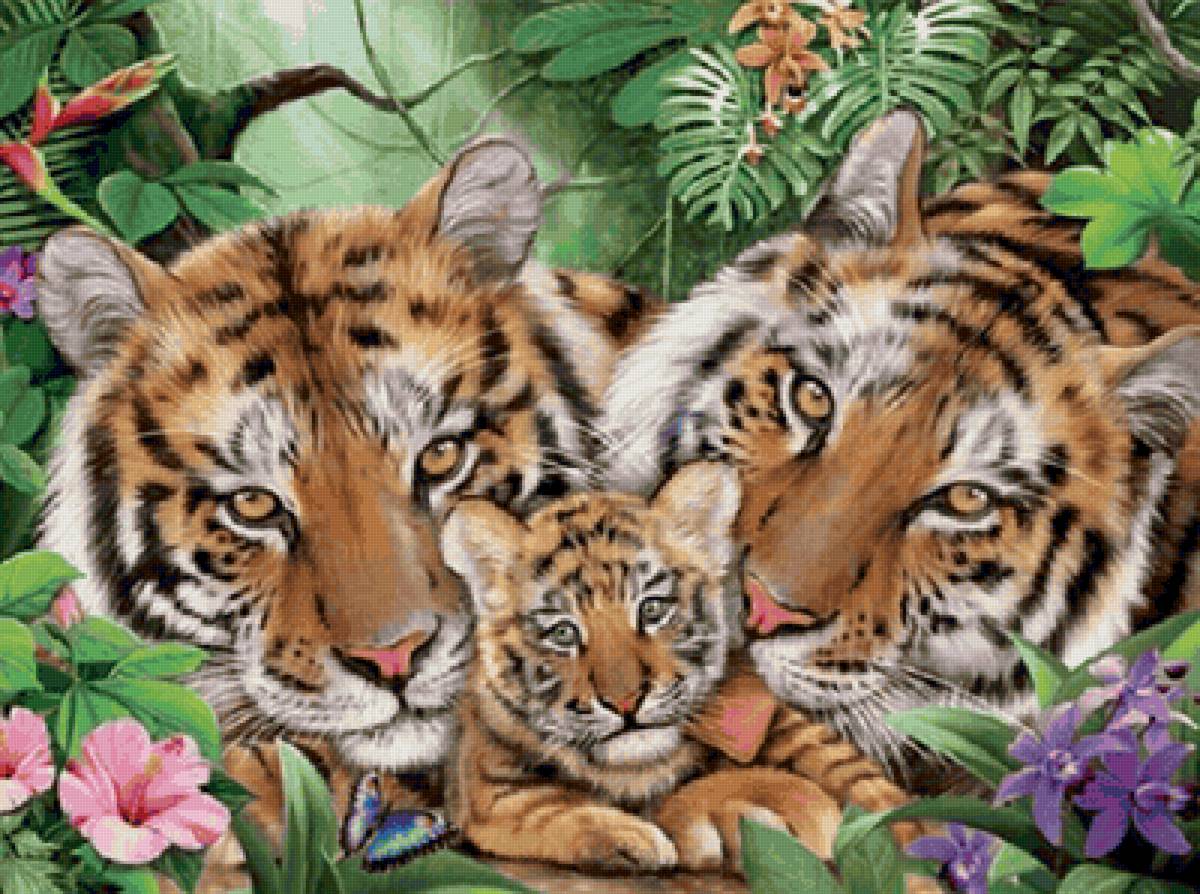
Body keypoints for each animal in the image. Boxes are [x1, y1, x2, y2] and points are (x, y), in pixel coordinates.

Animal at [440, 460, 927, 877]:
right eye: (563, 632)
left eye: (652, 609)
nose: (625, 702)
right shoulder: (491, 791)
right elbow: (552, 812)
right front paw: (635, 838)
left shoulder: (784, 726)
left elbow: (862, 783)